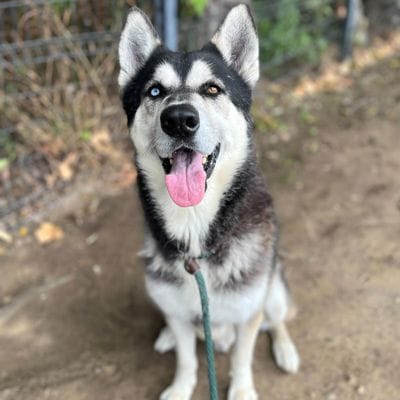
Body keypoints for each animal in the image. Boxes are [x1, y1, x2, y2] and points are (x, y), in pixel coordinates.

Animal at [117, 3, 298, 400]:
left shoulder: (249, 311)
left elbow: (243, 358)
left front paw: (242, 390)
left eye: (212, 89)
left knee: (277, 319)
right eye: (155, 91)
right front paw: (180, 387)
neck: (196, 233)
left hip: (273, 287)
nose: (179, 119)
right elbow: (187, 359)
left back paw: (285, 349)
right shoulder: (178, 311)